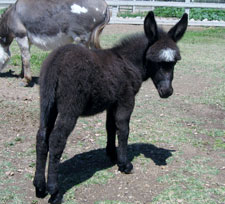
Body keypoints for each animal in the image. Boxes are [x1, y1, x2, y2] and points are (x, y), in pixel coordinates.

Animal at [33, 11, 188, 204]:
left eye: (174, 62)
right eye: (156, 62)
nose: (167, 92)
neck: (128, 61)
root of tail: (56, 60)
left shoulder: (111, 102)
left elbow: (110, 127)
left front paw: (112, 155)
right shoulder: (126, 100)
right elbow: (123, 129)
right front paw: (124, 164)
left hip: (47, 103)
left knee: (42, 137)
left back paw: (39, 186)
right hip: (70, 107)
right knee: (56, 139)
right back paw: (54, 191)